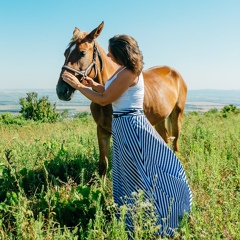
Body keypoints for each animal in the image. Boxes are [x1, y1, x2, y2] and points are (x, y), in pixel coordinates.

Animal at [56, 21, 188, 176]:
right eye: (65, 53)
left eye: (82, 52)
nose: (61, 91)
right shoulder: (102, 130)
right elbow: (103, 164)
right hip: (160, 118)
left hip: (176, 116)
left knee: (175, 144)